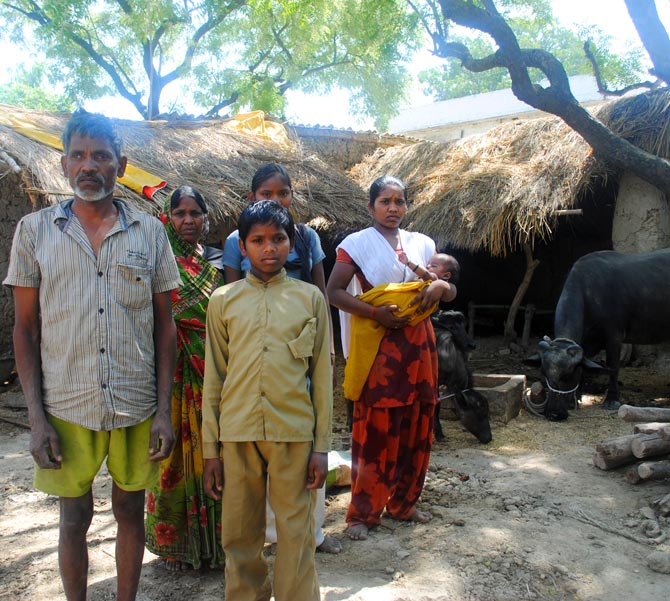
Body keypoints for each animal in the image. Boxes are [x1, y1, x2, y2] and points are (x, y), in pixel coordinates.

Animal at [532, 251, 670, 420]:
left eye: (567, 375)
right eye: (544, 373)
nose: (553, 414)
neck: (590, 294)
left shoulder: (614, 337)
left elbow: (613, 366)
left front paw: (612, 400)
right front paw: (575, 398)